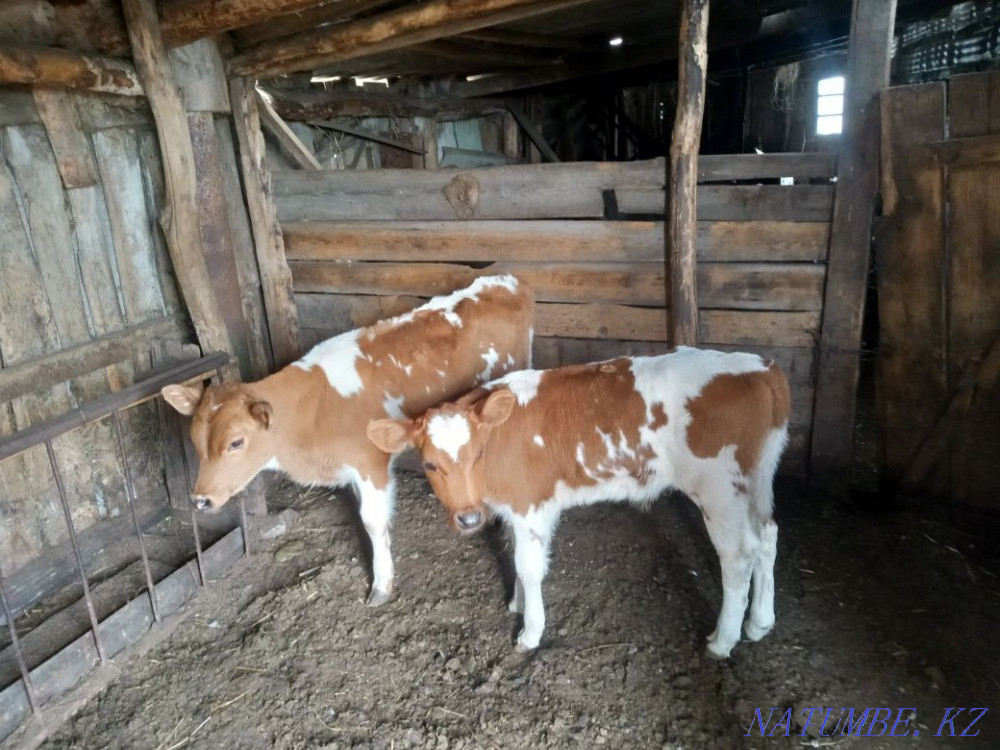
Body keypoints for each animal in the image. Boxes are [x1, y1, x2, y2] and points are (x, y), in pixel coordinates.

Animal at [160, 275, 534, 606]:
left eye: (236, 442)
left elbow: (372, 521)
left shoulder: (371, 463)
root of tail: (506, 281)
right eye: (194, 438)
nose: (201, 500)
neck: (314, 409)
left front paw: (382, 584)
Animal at [367, 347, 790, 658]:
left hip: (718, 489)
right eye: (429, 464)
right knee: (768, 534)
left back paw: (723, 639)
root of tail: (759, 366)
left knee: (738, 556)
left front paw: (530, 632)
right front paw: (516, 605)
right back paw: (760, 622)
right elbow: (515, 557)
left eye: (477, 454)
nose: (469, 518)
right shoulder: (513, 509)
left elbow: (529, 567)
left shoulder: (531, 505)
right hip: (757, 479)